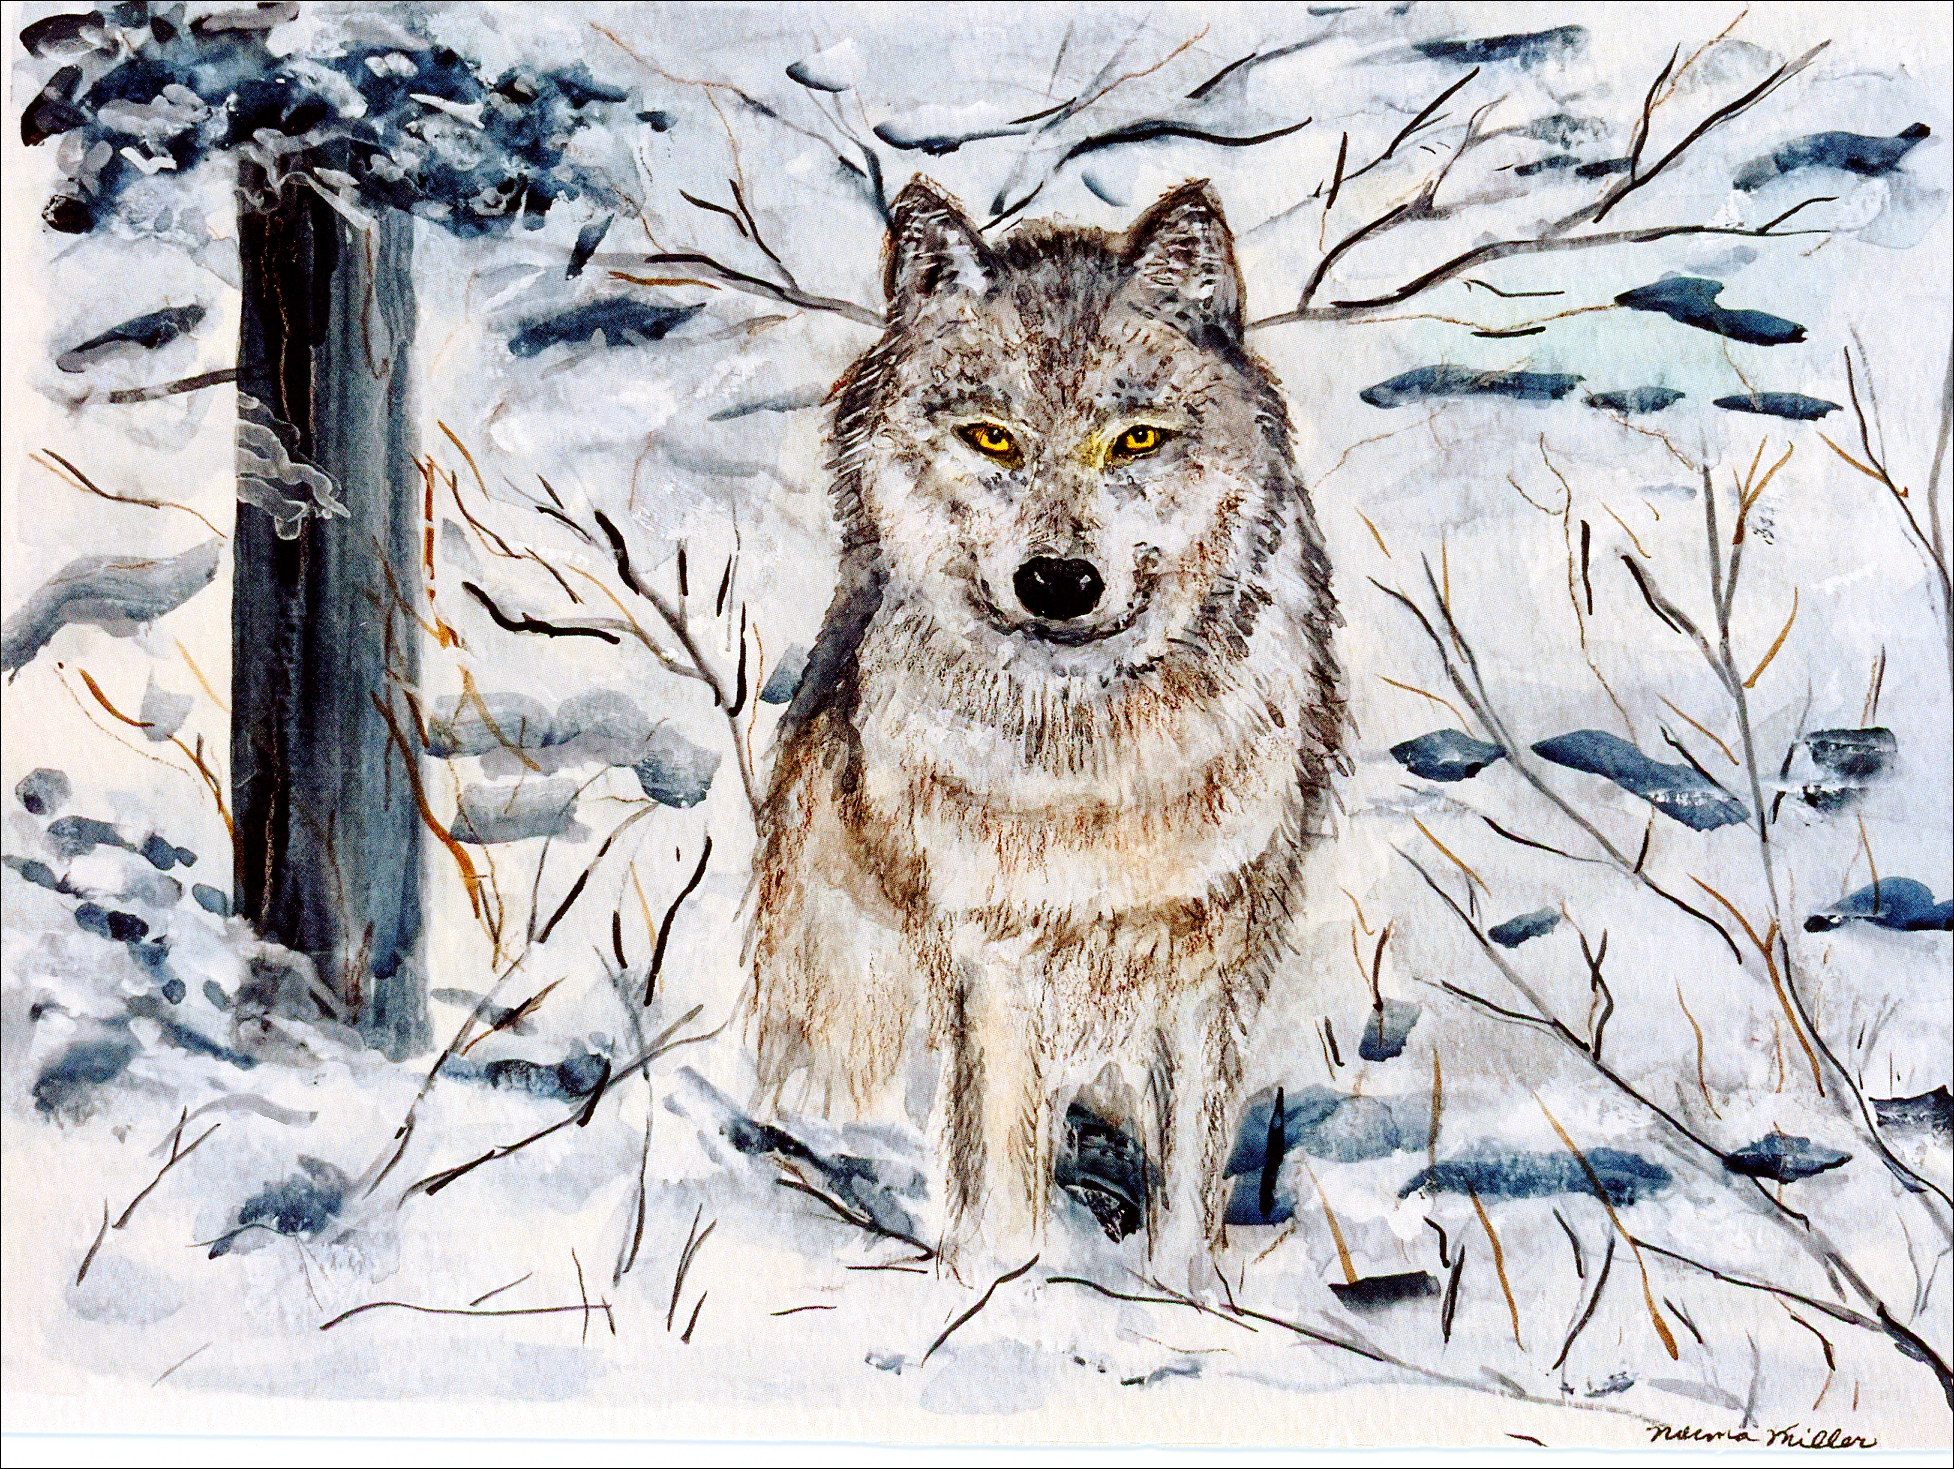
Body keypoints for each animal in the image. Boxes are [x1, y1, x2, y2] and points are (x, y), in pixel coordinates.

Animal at [747, 177, 1342, 1265]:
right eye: (993, 436)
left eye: (1136, 437)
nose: (1058, 582)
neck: (1089, 768)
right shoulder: (995, 966)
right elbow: (1003, 1188)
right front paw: (1005, 1288)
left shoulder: (1206, 967)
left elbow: (1187, 1196)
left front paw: (1180, 1293)